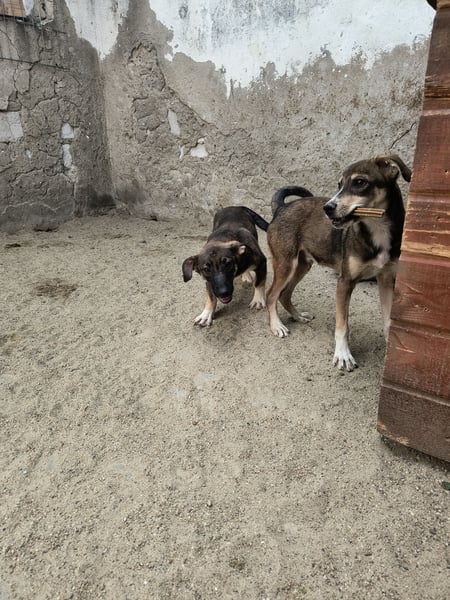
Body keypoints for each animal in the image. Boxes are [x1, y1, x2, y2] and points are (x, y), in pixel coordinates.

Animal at [266, 155, 411, 371]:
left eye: (359, 182)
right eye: (339, 185)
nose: (327, 208)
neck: (377, 229)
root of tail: (282, 207)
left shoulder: (386, 280)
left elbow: (387, 321)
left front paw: (389, 348)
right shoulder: (344, 282)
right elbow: (342, 325)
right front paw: (343, 355)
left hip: (303, 265)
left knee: (284, 294)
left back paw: (298, 316)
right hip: (285, 264)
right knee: (271, 295)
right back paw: (277, 326)